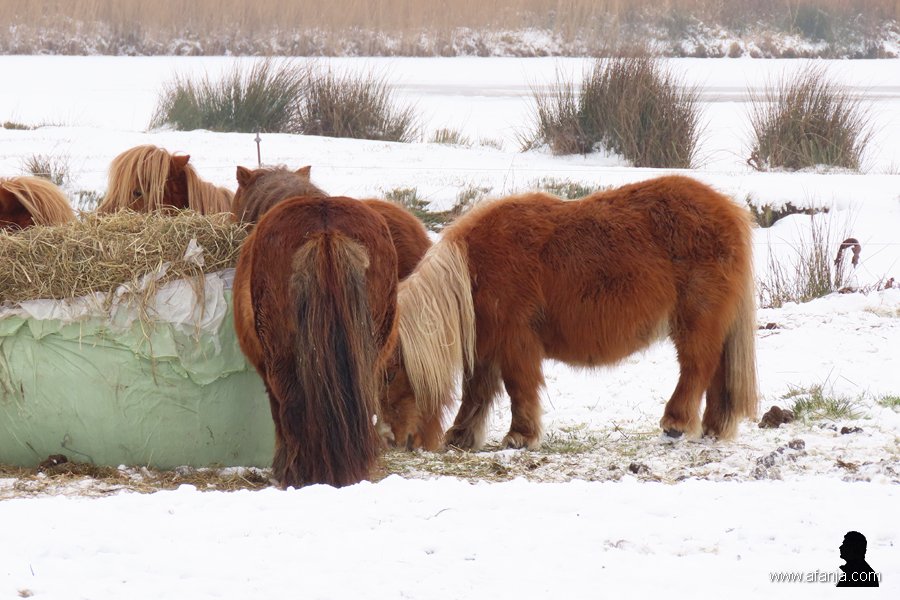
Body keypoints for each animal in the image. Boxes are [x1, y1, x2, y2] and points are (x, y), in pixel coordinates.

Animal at [397, 175, 759, 450]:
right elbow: (476, 392)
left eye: (391, 374)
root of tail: (729, 210)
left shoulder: (514, 340)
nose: (402, 442)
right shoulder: (487, 345)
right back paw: (713, 429)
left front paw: (520, 436)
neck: (473, 268)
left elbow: (517, 387)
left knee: (698, 367)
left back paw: (677, 423)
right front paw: (460, 436)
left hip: (696, 319)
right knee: (717, 371)